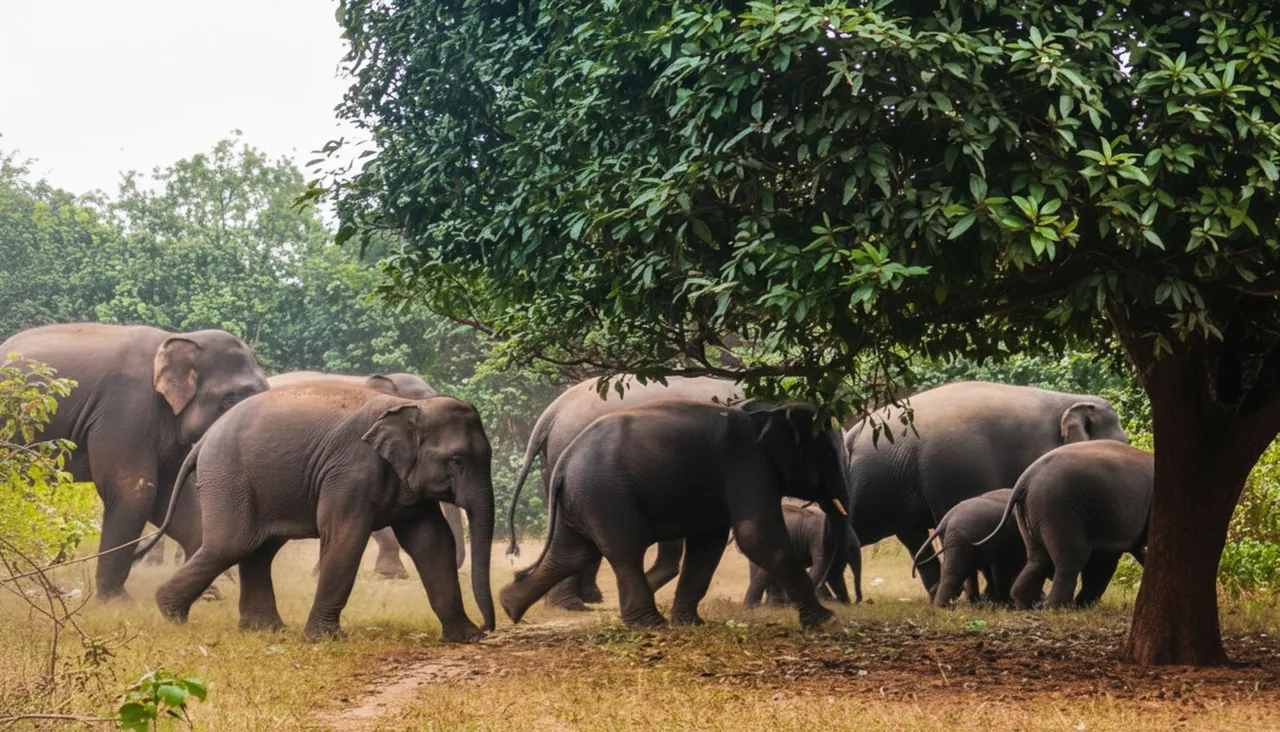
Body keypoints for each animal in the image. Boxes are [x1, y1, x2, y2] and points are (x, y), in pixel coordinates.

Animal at [0, 323, 268, 599]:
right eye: (230, 400)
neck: (177, 339)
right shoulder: (125, 407)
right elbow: (134, 492)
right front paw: (116, 601)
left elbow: (172, 496)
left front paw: (208, 595)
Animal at [500, 399, 850, 629]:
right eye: (829, 456)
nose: (834, 604)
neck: (767, 411)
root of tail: (564, 460)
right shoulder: (747, 465)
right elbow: (757, 534)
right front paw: (826, 621)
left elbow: (709, 543)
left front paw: (691, 623)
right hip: (605, 494)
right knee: (624, 549)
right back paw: (650, 624)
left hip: (582, 498)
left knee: (570, 553)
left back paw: (509, 606)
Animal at [978, 440, 1151, 609]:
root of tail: (1024, 479)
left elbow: (1105, 561)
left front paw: (1083, 605)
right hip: (1056, 506)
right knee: (1072, 557)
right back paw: (1055, 607)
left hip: (1031, 511)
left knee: (1038, 558)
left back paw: (1025, 604)